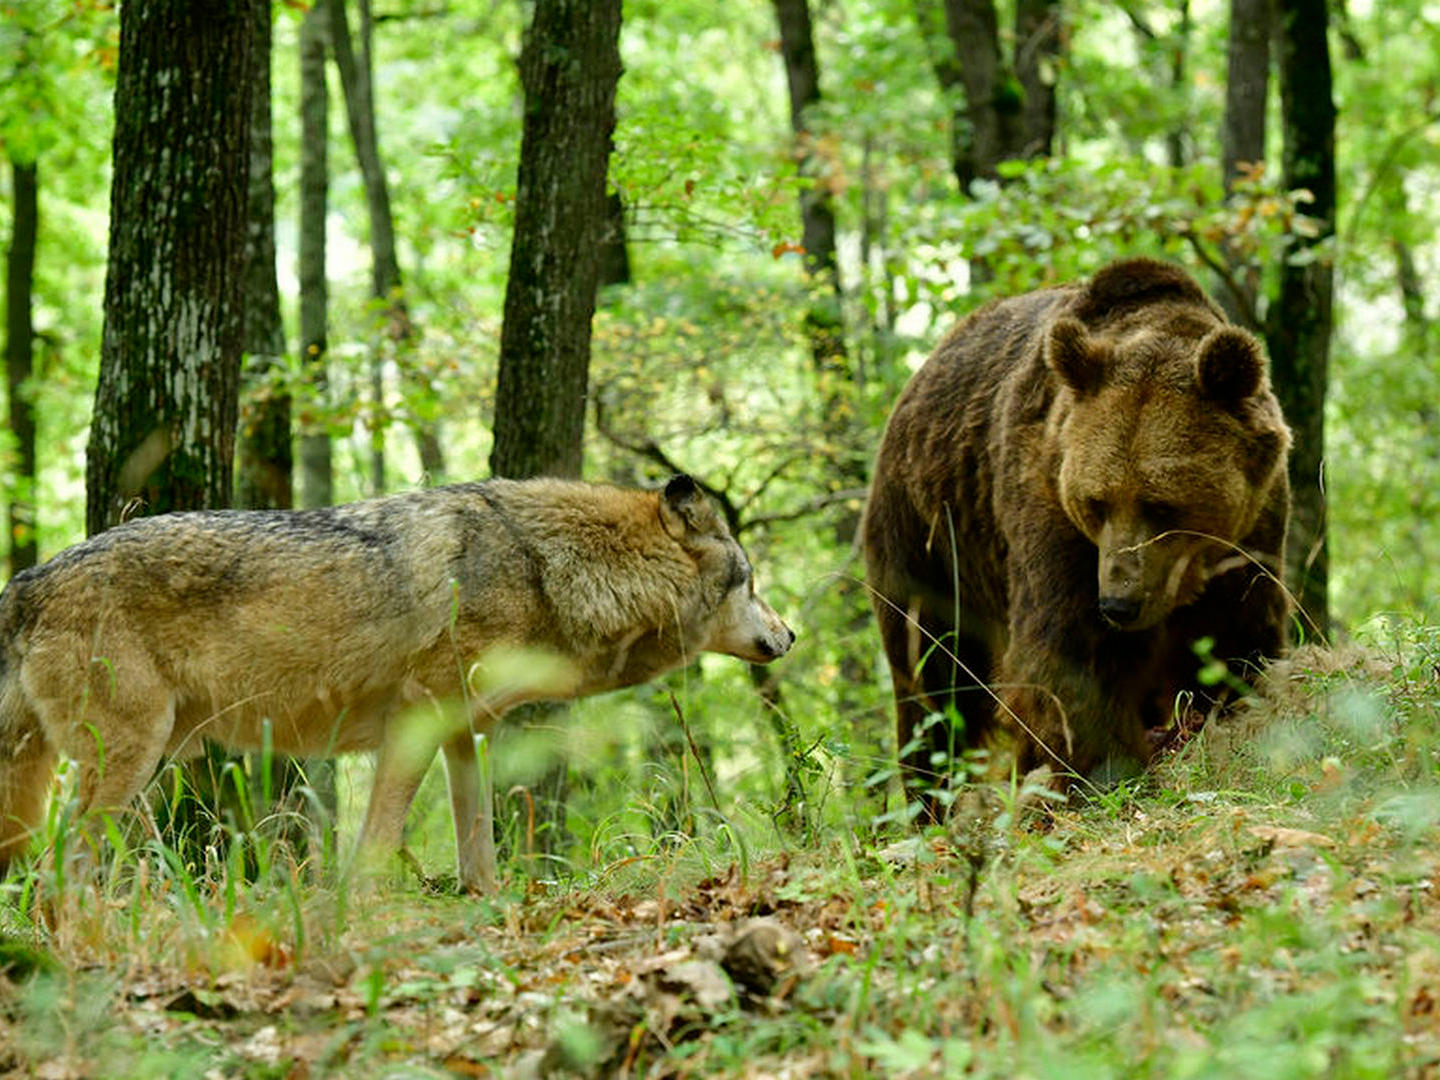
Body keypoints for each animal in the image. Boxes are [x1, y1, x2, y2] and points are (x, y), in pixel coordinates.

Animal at [0, 478, 800, 892]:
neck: (547, 568)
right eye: (752, 580)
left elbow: (479, 843)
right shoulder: (416, 718)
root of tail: (28, 580)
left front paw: (488, 907)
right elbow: (380, 839)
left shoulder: (462, 733)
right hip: (130, 762)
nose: (790, 636)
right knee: (58, 865)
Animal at [858, 256, 1290, 812]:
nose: (1118, 604)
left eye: (1162, 505)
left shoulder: (1250, 534)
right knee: (933, 681)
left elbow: (1234, 637)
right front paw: (1109, 774)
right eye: (1096, 501)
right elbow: (1067, 653)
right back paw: (929, 802)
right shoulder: (1048, 503)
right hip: (930, 540)